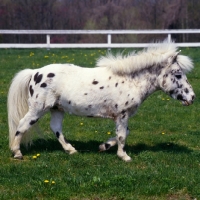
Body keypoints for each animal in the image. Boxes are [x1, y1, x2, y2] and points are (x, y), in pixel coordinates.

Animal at [7, 39, 195, 162]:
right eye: (178, 74)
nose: (192, 97)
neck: (130, 80)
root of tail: (35, 72)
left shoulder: (121, 117)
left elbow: (124, 133)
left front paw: (103, 147)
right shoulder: (122, 114)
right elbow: (122, 135)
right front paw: (124, 156)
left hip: (57, 109)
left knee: (56, 129)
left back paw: (71, 150)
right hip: (38, 109)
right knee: (22, 125)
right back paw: (17, 153)